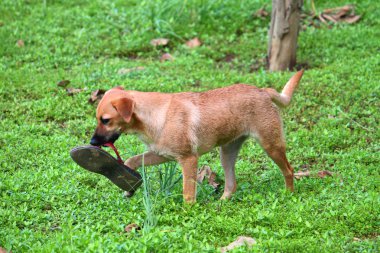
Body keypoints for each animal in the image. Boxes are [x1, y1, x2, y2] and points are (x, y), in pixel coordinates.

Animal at [90, 70, 304, 203]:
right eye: (99, 119)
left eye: (106, 120)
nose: (92, 142)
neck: (156, 115)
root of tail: (263, 91)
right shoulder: (161, 154)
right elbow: (131, 160)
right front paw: (128, 186)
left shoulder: (188, 160)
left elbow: (188, 194)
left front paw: (188, 214)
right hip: (227, 153)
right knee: (231, 185)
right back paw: (220, 203)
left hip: (271, 145)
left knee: (289, 171)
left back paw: (289, 194)